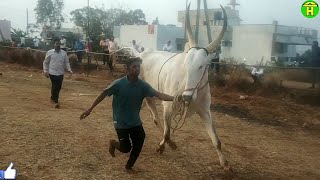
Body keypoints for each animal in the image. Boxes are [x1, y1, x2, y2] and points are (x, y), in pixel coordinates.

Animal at [134, 4, 230, 172]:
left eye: (203, 65)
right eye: (186, 64)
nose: (186, 97)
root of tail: (142, 54)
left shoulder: (205, 111)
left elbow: (216, 140)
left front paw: (225, 163)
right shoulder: (168, 106)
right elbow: (167, 132)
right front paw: (162, 146)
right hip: (146, 96)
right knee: (157, 120)